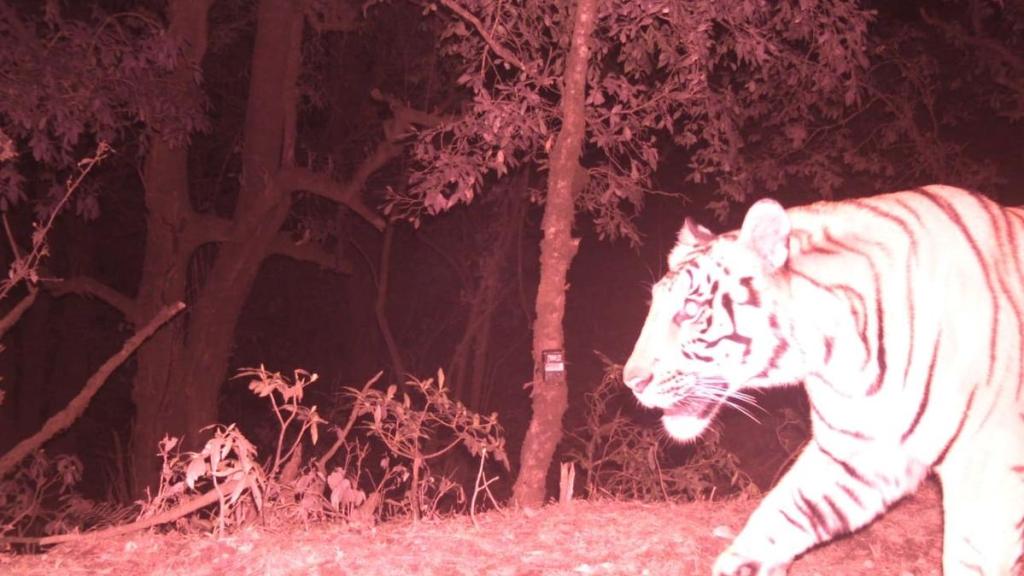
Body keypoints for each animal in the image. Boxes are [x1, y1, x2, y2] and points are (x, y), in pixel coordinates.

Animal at [621, 185, 1024, 575]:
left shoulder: (988, 468)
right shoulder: (860, 454)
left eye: (690, 310)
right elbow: (784, 513)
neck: (839, 357)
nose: (631, 381)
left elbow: (970, 558)